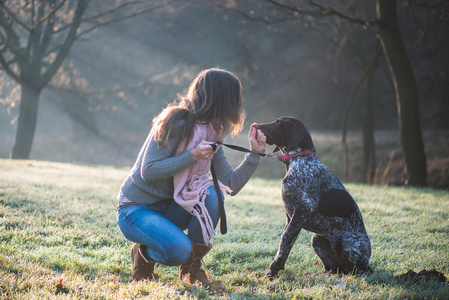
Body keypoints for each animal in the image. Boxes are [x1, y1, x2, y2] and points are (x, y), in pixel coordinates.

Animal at [256, 116, 372, 278]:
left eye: (278, 122)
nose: (257, 126)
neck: (300, 158)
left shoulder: (304, 207)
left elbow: (285, 238)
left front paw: (273, 270)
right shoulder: (291, 217)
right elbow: (285, 243)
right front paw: (276, 268)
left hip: (350, 242)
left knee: (361, 269)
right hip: (316, 239)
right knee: (334, 267)